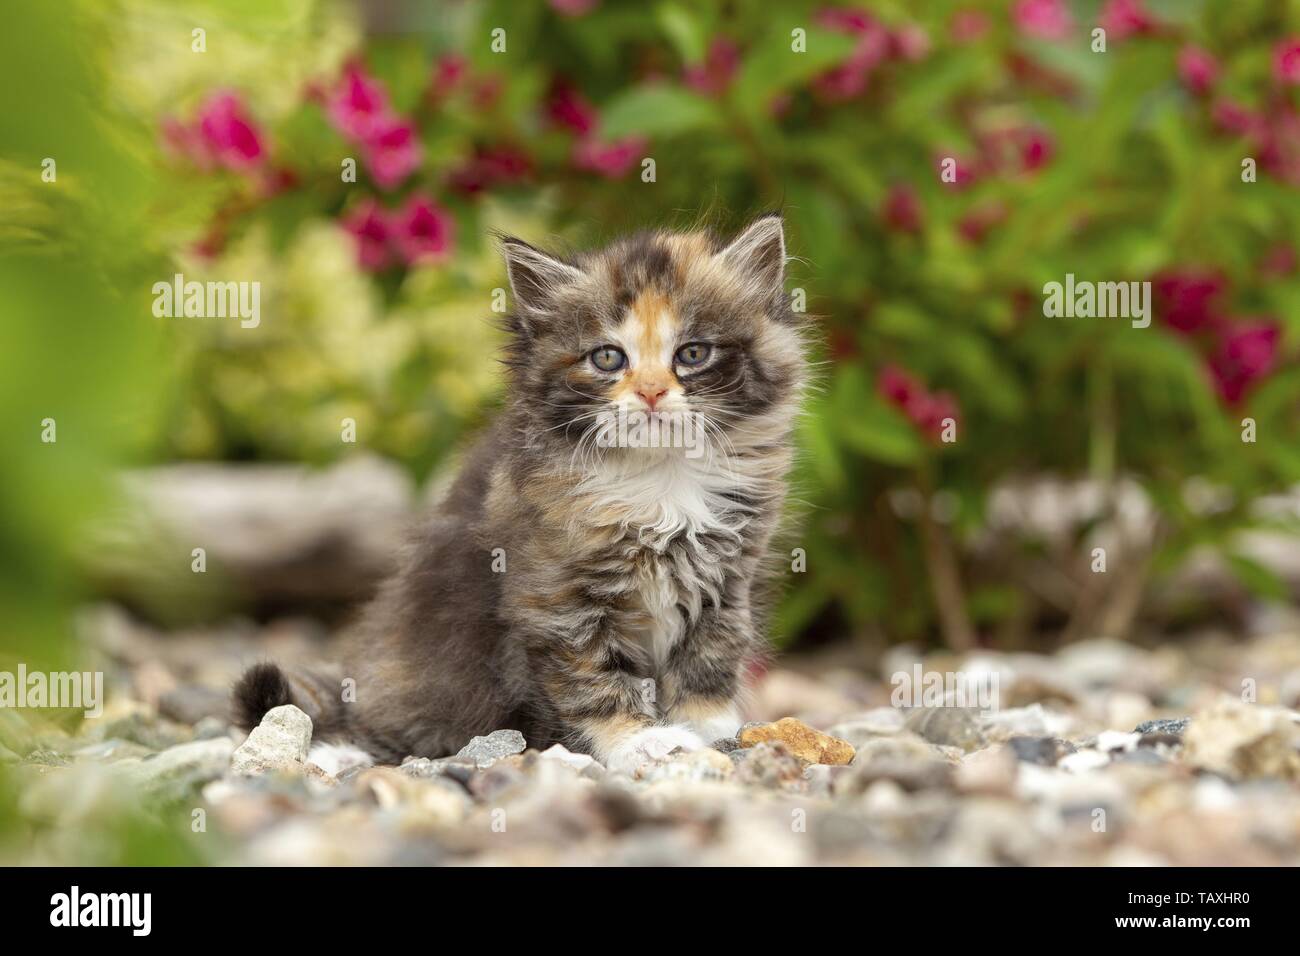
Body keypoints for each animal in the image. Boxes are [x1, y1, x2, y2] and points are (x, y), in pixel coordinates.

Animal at [232, 213, 800, 775]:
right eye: (608, 358)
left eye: (693, 353)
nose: (652, 392)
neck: (661, 477)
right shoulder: (554, 596)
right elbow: (592, 678)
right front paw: (638, 741)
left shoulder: (728, 577)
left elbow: (711, 654)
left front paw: (710, 727)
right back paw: (339, 753)